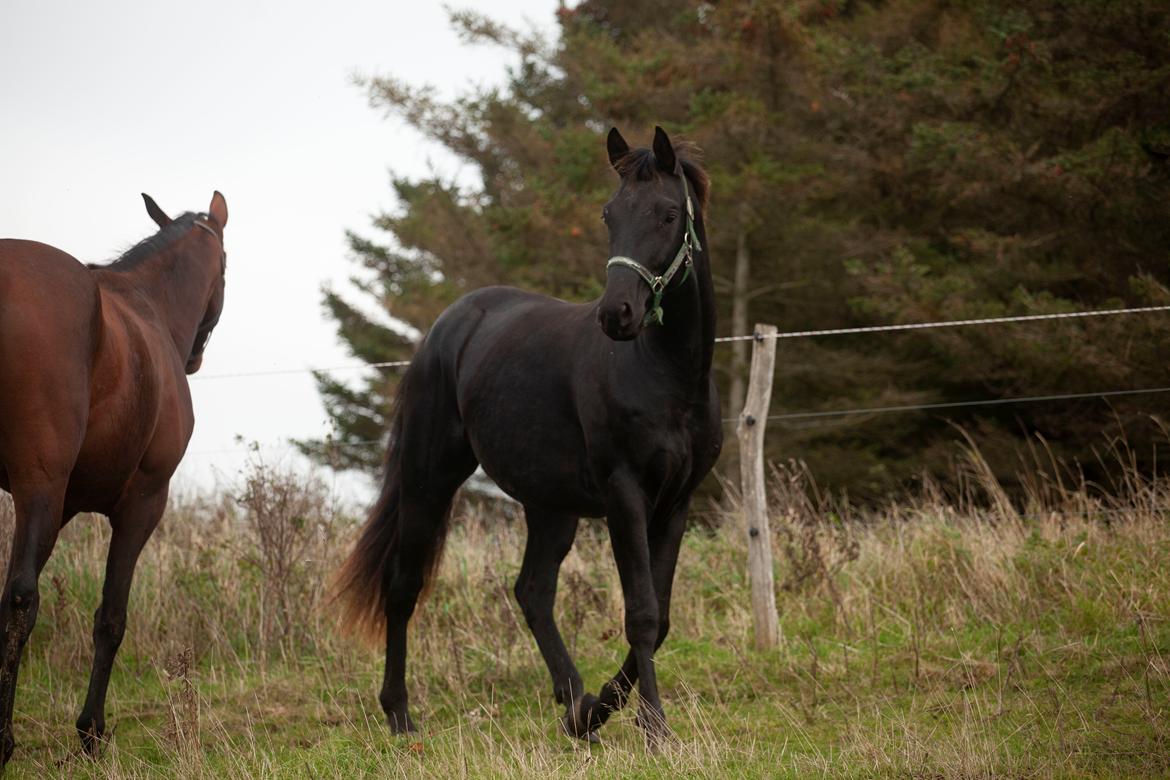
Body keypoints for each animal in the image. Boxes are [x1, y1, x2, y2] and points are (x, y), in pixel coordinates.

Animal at [0, 191, 229, 767]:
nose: (194, 358)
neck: (147, 309)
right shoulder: (142, 503)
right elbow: (111, 618)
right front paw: (90, 732)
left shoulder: (62, 507)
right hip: (40, 488)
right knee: (20, 601)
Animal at [336, 126, 720, 743]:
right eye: (610, 214)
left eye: (667, 215)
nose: (616, 315)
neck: (667, 375)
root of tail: (451, 324)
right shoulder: (625, 496)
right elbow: (640, 613)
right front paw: (655, 730)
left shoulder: (675, 503)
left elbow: (659, 618)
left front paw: (604, 710)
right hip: (428, 479)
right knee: (403, 585)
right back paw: (400, 714)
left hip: (550, 505)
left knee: (533, 591)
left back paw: (576, 706)